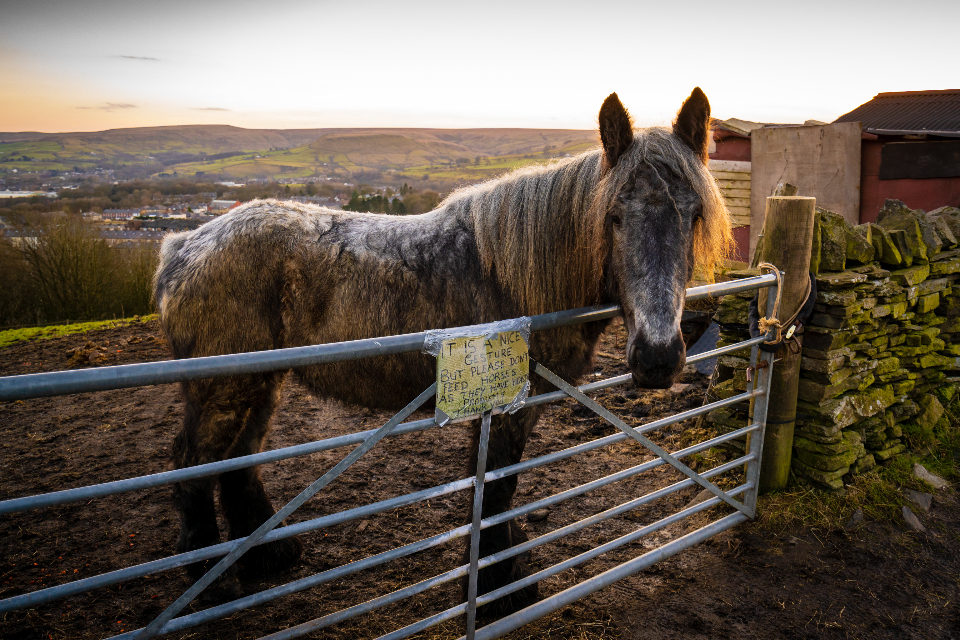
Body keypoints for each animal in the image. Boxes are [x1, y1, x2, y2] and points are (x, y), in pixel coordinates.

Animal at [153, 88, 732, 613]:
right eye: (613, 216)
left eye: (694, 215)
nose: (657, 357)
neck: (517, 276)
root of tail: (183, 247)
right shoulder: (506, 408)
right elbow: (497, 487)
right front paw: (500, 590)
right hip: (222, 391)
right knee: (193, 464)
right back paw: (209, 584)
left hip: (259, 385)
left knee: (239, 460)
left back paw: (264, 558)